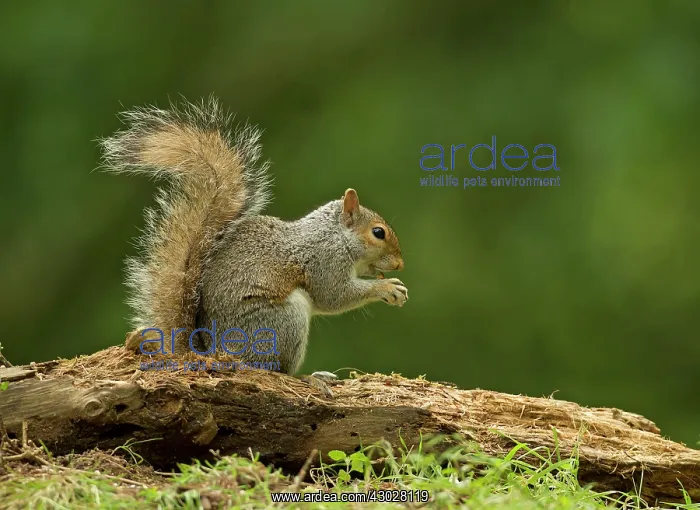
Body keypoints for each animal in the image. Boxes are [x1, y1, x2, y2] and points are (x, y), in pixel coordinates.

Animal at [100, 96, 407, 385]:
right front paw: (387, 288)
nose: (400, 264)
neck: (334, 234)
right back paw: (308, 377)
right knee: (273, 367)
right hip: (279, 323)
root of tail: (209, 350)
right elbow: (334, 296)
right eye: (378, 232)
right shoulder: (324, 260)